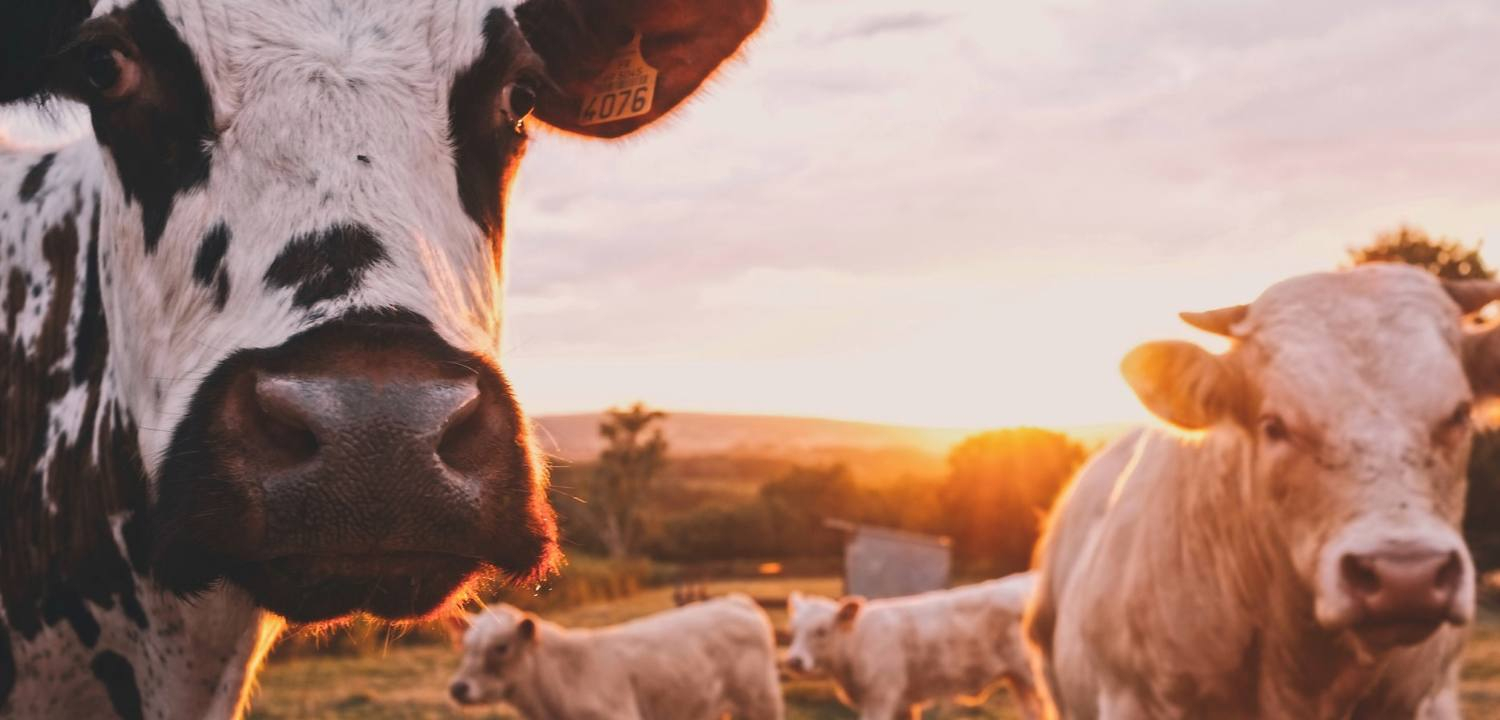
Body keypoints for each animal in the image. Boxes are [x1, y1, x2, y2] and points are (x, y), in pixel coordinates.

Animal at [786, 573, 1044, 720]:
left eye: (821, 631)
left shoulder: (880, 697)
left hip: (1033, 674)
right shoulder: (903, 703)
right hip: (1018, 680)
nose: (794, 661)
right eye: (794, 630)